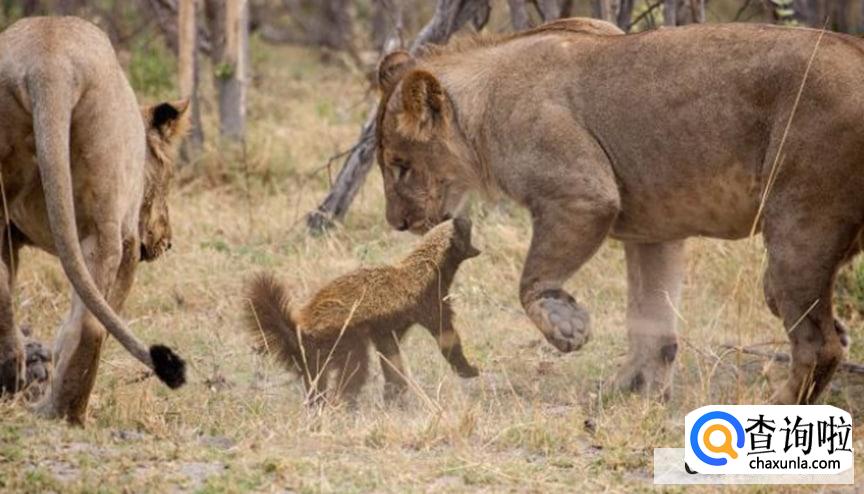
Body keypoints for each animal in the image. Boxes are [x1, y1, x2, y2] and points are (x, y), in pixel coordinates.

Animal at [0, 17, 187, 422]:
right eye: (169, 177)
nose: (168, 241)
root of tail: (49, 61)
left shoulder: (9, 235)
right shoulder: (130, 241)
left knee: (2, 292)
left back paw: (15, 379)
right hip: (104, 224)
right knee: (91, 325)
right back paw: (64, 413)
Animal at [246, 218, 482, 404]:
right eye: (465, 228)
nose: (466, 217)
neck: (426, 268)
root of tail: (301, 330)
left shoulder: (387, 329)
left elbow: (391, 357)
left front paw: (394, 393)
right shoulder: (429, 303)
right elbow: (447, 338)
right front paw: (470, 370)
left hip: (318, 356)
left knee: (316, 381)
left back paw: (318, 405)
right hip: (345, 339)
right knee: (354, 370)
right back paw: (344, 404)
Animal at [374, 18, 864, 406]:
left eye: (400, 166)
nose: (397, 223)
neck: (481, 110)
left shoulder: (582, 194)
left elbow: (531, 281)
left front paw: (567, 328)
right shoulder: (654, 230)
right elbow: (651, 321)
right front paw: (630, 391)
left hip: (801, 225)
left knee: (819, 344)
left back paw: (775, 407)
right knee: (811, 321)